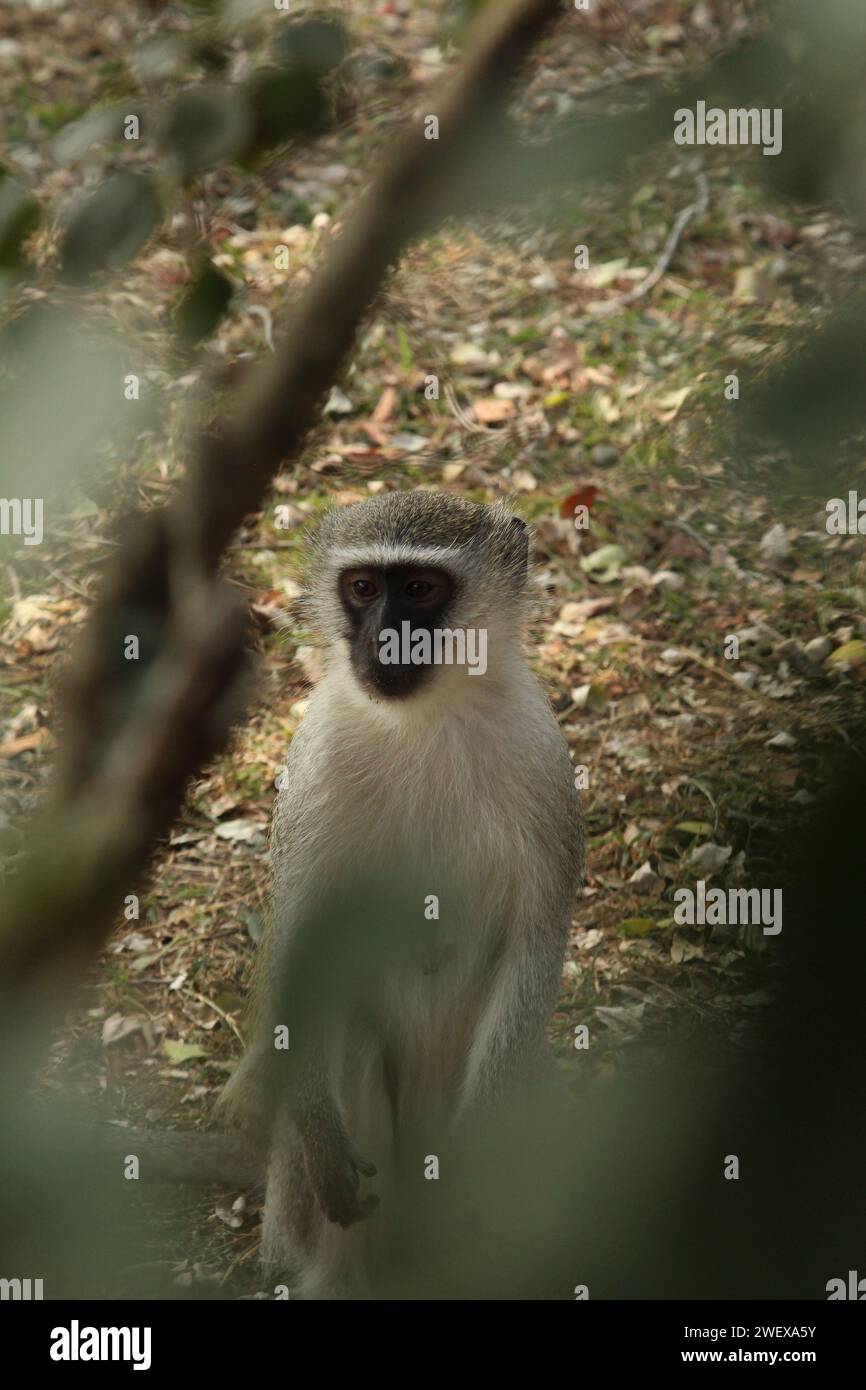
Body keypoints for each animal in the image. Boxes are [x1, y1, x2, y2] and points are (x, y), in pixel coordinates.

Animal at [222, 489, 589, 1289]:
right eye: (363, 588)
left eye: (420, 589)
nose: (383, 639)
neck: (427, 718)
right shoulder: (315, 762)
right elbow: (300, 937)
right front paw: (320, 1140)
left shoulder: (544, 762)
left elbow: (537, 940)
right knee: (352, 1044)